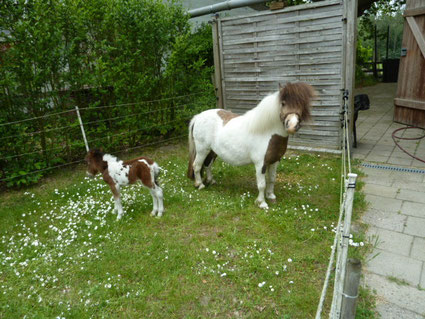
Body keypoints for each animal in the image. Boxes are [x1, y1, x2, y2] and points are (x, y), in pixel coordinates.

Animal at [187, 81, 314, 209]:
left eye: (303, 105)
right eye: (283, 103)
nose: (292, 126)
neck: (268, 132)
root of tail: (198, 116)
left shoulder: (275, 161)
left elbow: (272, 179)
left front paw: (271, 196)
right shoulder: (260, 164)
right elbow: (262, 184)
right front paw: (261, 203)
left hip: (212, 151)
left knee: (208, 165)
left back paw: (211, 181)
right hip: (202, 150)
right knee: (197, 165)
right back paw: (200, 185)